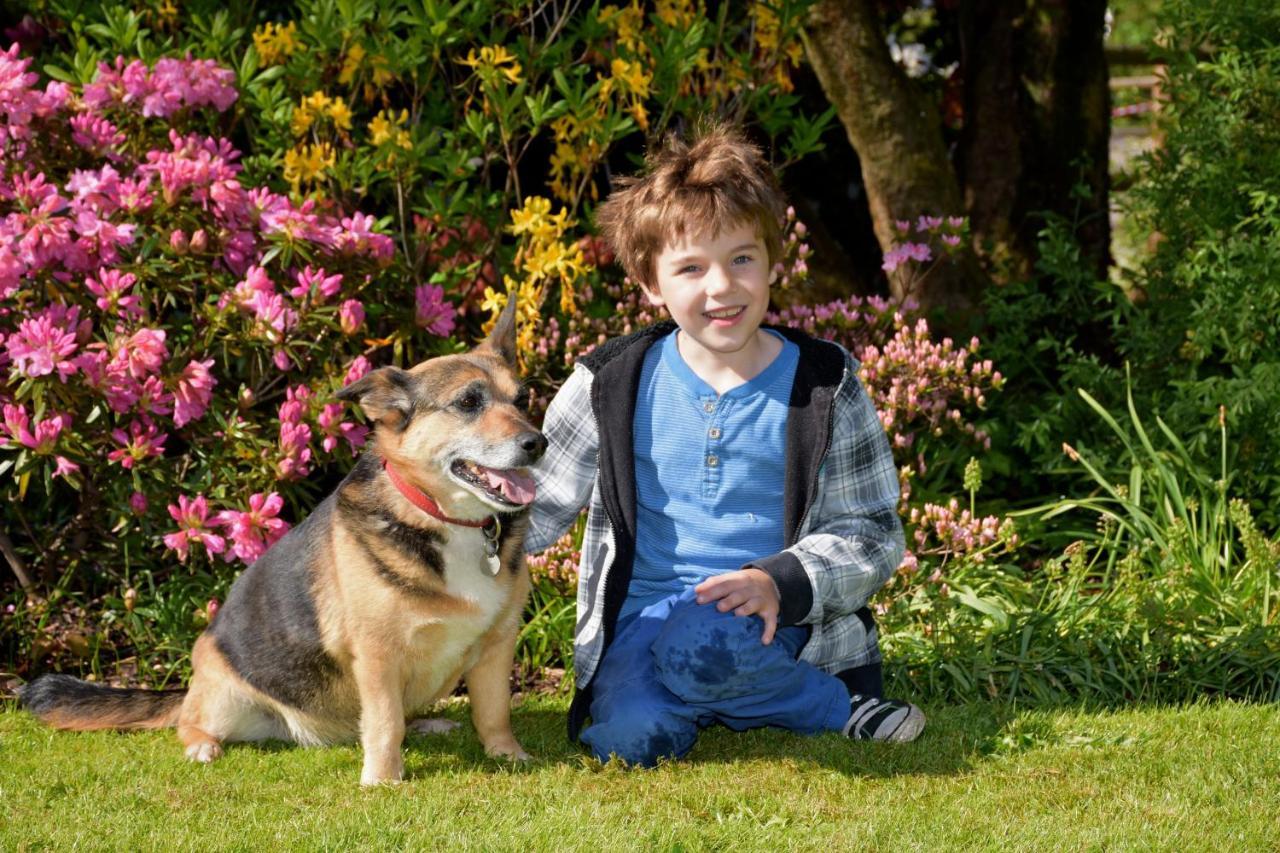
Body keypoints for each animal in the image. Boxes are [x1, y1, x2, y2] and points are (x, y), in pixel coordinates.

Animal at [17, 294, 545, 783]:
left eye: (522, 400)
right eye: (468, 403)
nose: (537, 444)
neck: (446, 520)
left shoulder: (497, 646)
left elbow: (493, 713)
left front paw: (508, 755)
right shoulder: (377, 656)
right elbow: (384, 724)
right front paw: (382, 779)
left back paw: (427, 724)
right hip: (227, 698)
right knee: (189, 722)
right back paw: (202, 744)